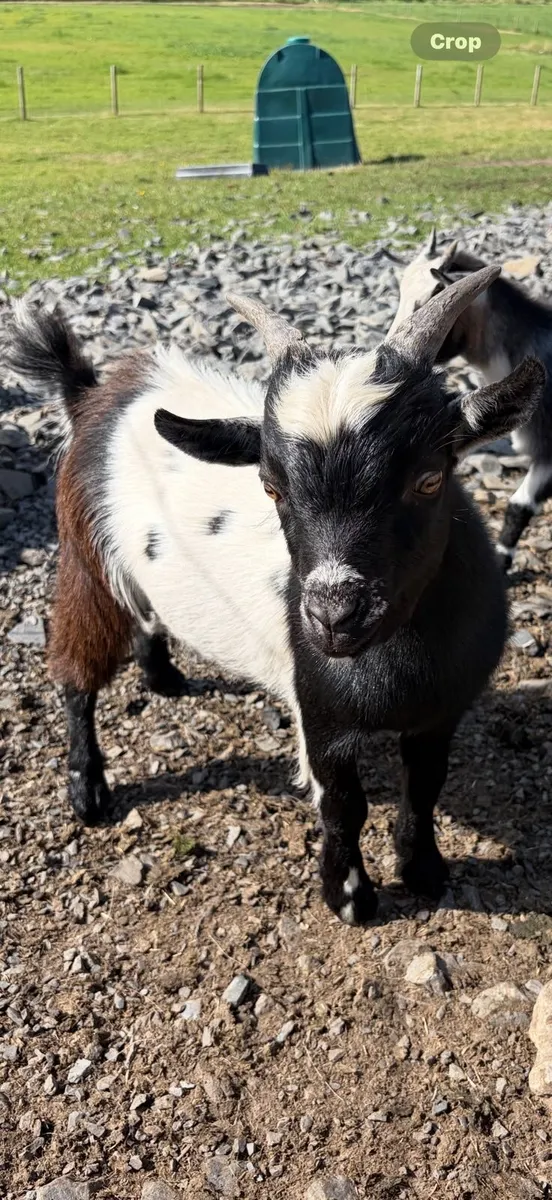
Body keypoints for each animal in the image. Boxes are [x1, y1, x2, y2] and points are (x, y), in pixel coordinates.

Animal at [5, 272, 544, 923]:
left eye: (429, 478)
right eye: (271, 486)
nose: (334, 617)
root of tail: (92, 394)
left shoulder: (442, 711)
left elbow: (425, 788)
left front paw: (424, 871)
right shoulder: (321, 715)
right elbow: (345, 805)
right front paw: (349, 896)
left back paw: (163, 677)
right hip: (84, 557)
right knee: (75, 671)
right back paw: (88, 790)